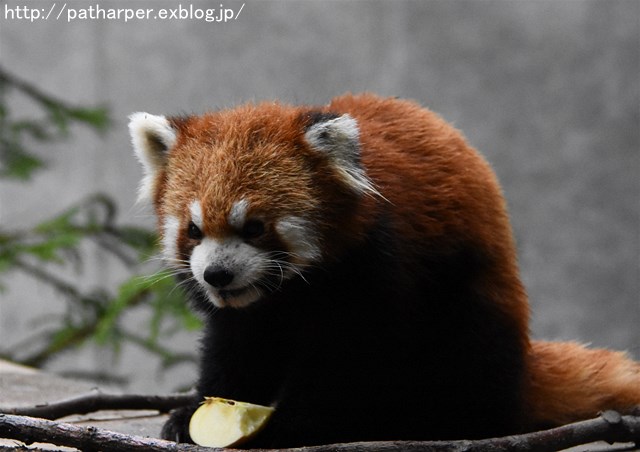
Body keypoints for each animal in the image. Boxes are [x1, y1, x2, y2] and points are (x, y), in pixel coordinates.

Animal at [127, 93, 636, 446]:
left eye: (254, 227)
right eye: (194, 230)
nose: (217, 275)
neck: (290, 297)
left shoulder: (376, 277)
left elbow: (346, 365)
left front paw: (286, 427)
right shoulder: (249, 315)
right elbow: (235, 351)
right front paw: (194, 413)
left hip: (467, 306)